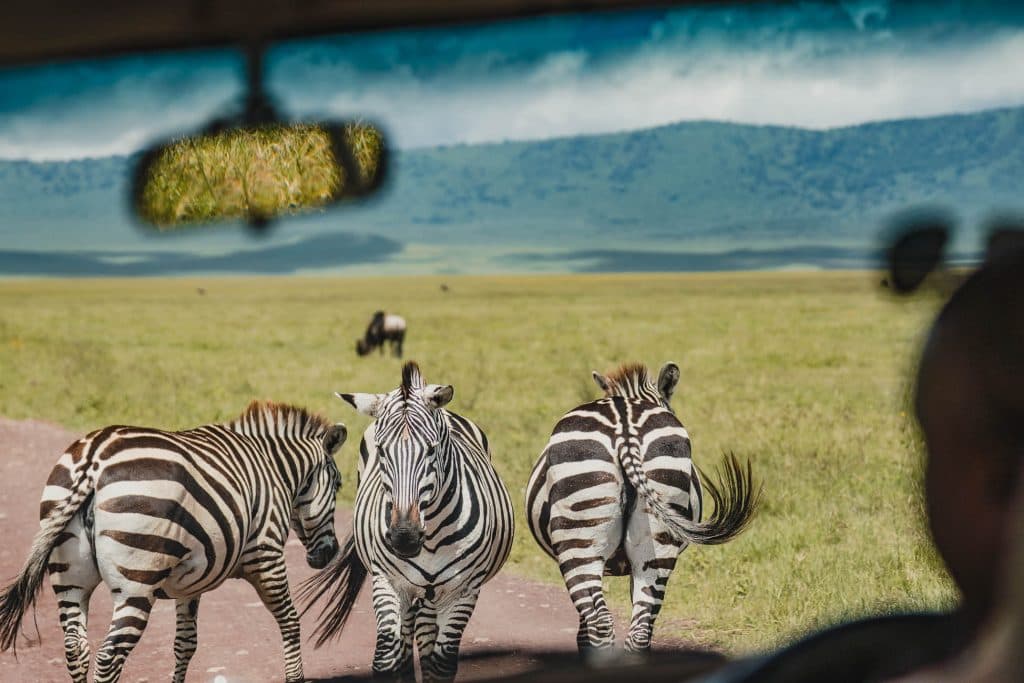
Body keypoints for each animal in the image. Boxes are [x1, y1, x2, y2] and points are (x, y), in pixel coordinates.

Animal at [0, 401, 347, 683]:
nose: (329, 555)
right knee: (109, 656)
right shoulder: (267, 556)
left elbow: (185, 644)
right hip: (136, 581)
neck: (275, 471)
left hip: (70, 576)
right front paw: (295, 676)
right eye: (340, 485)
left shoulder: (191, 581)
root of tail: (94, 458)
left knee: (76, 648)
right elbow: (290, 621)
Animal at [299, 361, 514, 682]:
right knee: (407, 635)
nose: (404, 536)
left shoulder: (464, 590)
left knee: (424, 634)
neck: (432, 535)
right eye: (382, 450)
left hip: (434, 594)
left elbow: (441, 665)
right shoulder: (388, 582)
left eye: (432, 449)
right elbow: (386, 658)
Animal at [525, 362, 761, 654]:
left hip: (580, 539)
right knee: (640, 629)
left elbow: (583, 631)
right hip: (657, 540)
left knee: (601, 625)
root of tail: (625, 429)